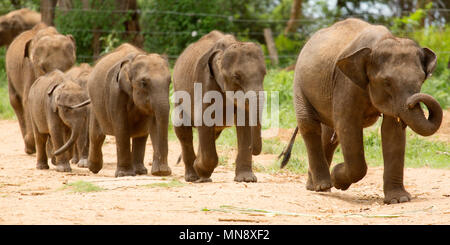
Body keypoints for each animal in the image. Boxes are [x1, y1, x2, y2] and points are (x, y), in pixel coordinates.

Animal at [5, 23, 76, 154]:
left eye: (71, 66)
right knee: (15, 101)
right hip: (10, 74)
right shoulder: (29, 69)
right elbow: (28, 100)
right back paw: (29, 148)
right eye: (42, 68)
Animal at [86, 44, 172, 177]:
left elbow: (156, 123)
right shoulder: (115, 92)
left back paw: (140, 171)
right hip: (95, 106)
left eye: (170, 82)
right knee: (97, 135)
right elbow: (121, 126)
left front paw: (160, 172)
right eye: (143, 83)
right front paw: (124, 174)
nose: (165, 171)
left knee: (141, 135)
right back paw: (93, 168)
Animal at [171, 30, 264, 183]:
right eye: (236, 76)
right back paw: (193, 177)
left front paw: (247, 179)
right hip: (178, 95)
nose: (254, 149)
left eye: (264, 74)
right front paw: (201, 170)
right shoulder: (204, 81)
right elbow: (204, 119)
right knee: (183, 131)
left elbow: (244, 123)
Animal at [282, 18, 442, 204]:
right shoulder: (346, 82)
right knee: (309, 125)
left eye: (421, 80)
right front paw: (338, 178)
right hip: (299, 84)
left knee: (328, 135)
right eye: (387, 82)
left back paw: (316, 186)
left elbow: (392, 131)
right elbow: (348, 125)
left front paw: (399, 200)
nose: (412, 101)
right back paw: (323, 185)